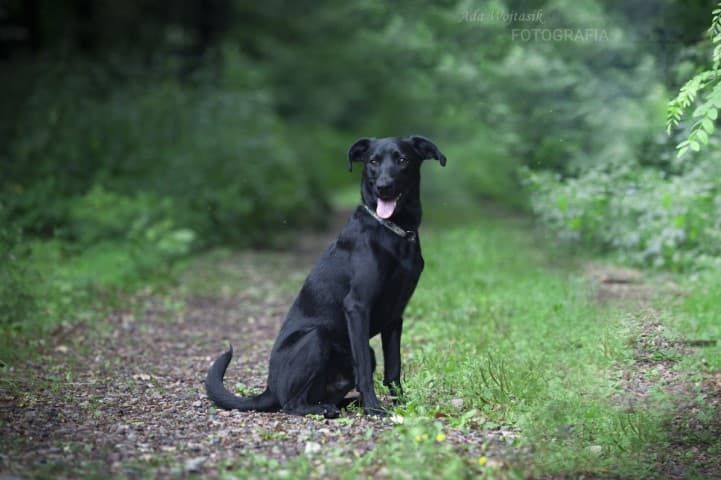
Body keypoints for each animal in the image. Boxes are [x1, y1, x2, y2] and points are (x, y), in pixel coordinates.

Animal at [204, 135, 444, 416]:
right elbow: (363, 368)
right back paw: (327, 409)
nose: (383, 187)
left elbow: (393, 369)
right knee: (290, 404)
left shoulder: (395, 316)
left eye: (402, 160)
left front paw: (402, 405)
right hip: (315, 338)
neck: (393, 231)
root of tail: (269, 389)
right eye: (373, 162)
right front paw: (374, 408)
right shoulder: (357, 306)